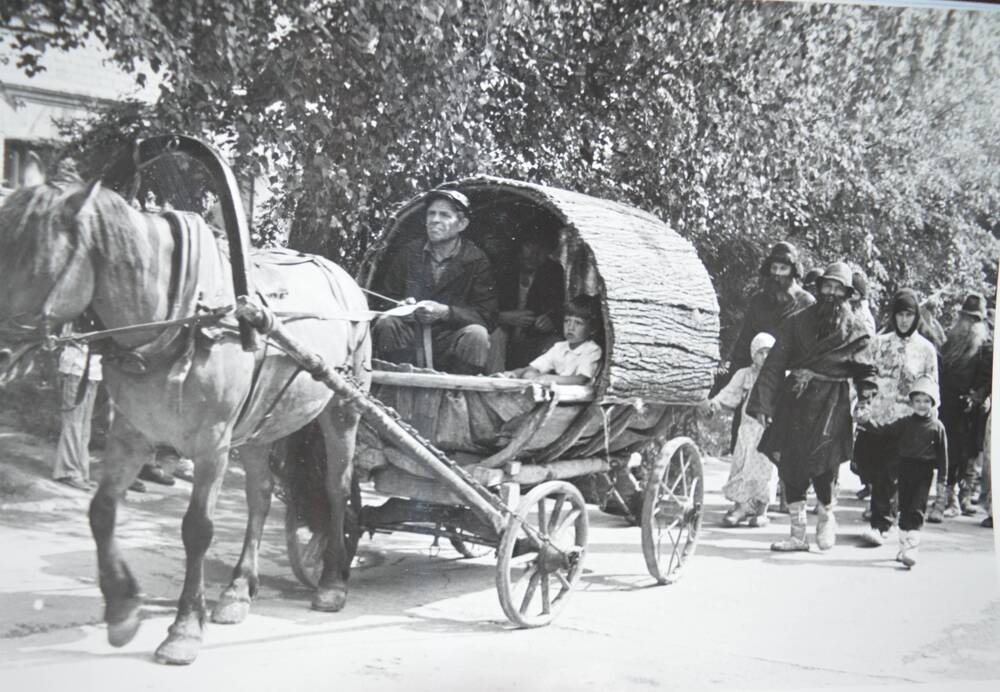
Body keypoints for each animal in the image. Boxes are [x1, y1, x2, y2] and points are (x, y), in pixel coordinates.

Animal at [0, 169, 374, 664]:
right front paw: (122, 609)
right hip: (258, 426)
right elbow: (101, 511)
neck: (179, 319)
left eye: (40, 266)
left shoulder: (212, 442)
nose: (0, 353)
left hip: (342, 408)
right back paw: (238, 590)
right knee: (260, 496)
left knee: (336, 489)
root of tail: (349, 283)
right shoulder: (132, 432)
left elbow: (197, 529)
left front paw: (184, 629)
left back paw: (331, 582)